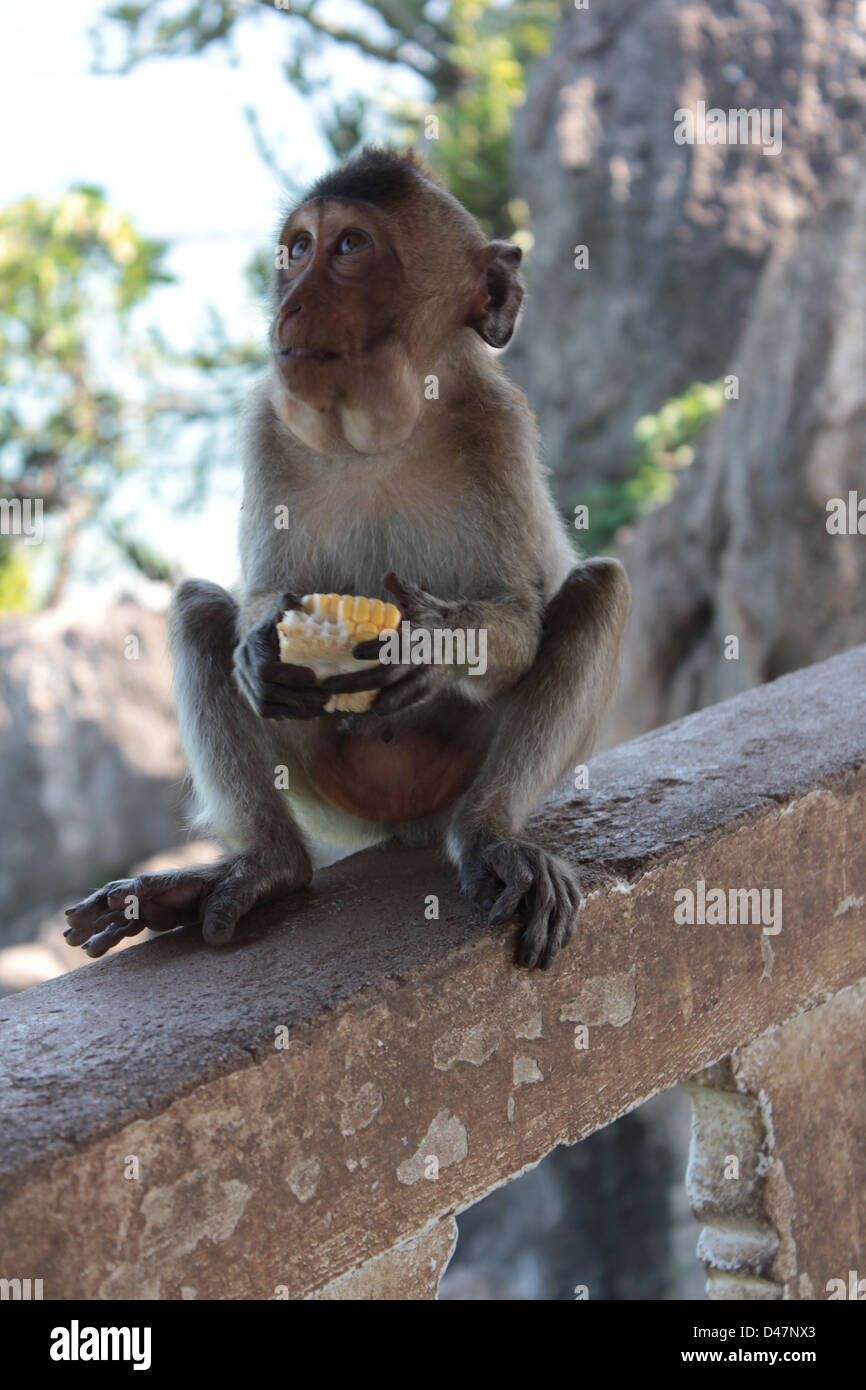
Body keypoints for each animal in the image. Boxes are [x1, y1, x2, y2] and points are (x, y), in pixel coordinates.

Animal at [62, 143, 631, 967]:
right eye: (298, 249)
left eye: (351, 247)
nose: (290, 304)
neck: (381, 433)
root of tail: (400, 824)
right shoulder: (267, 419)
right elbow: (266, 591)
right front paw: (258, 650)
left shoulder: (499, 427)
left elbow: (521, 616)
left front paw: (435, 642)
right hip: (329, 795)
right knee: (199, 612)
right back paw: (261, 865)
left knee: (599, 590)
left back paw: (489, 834)